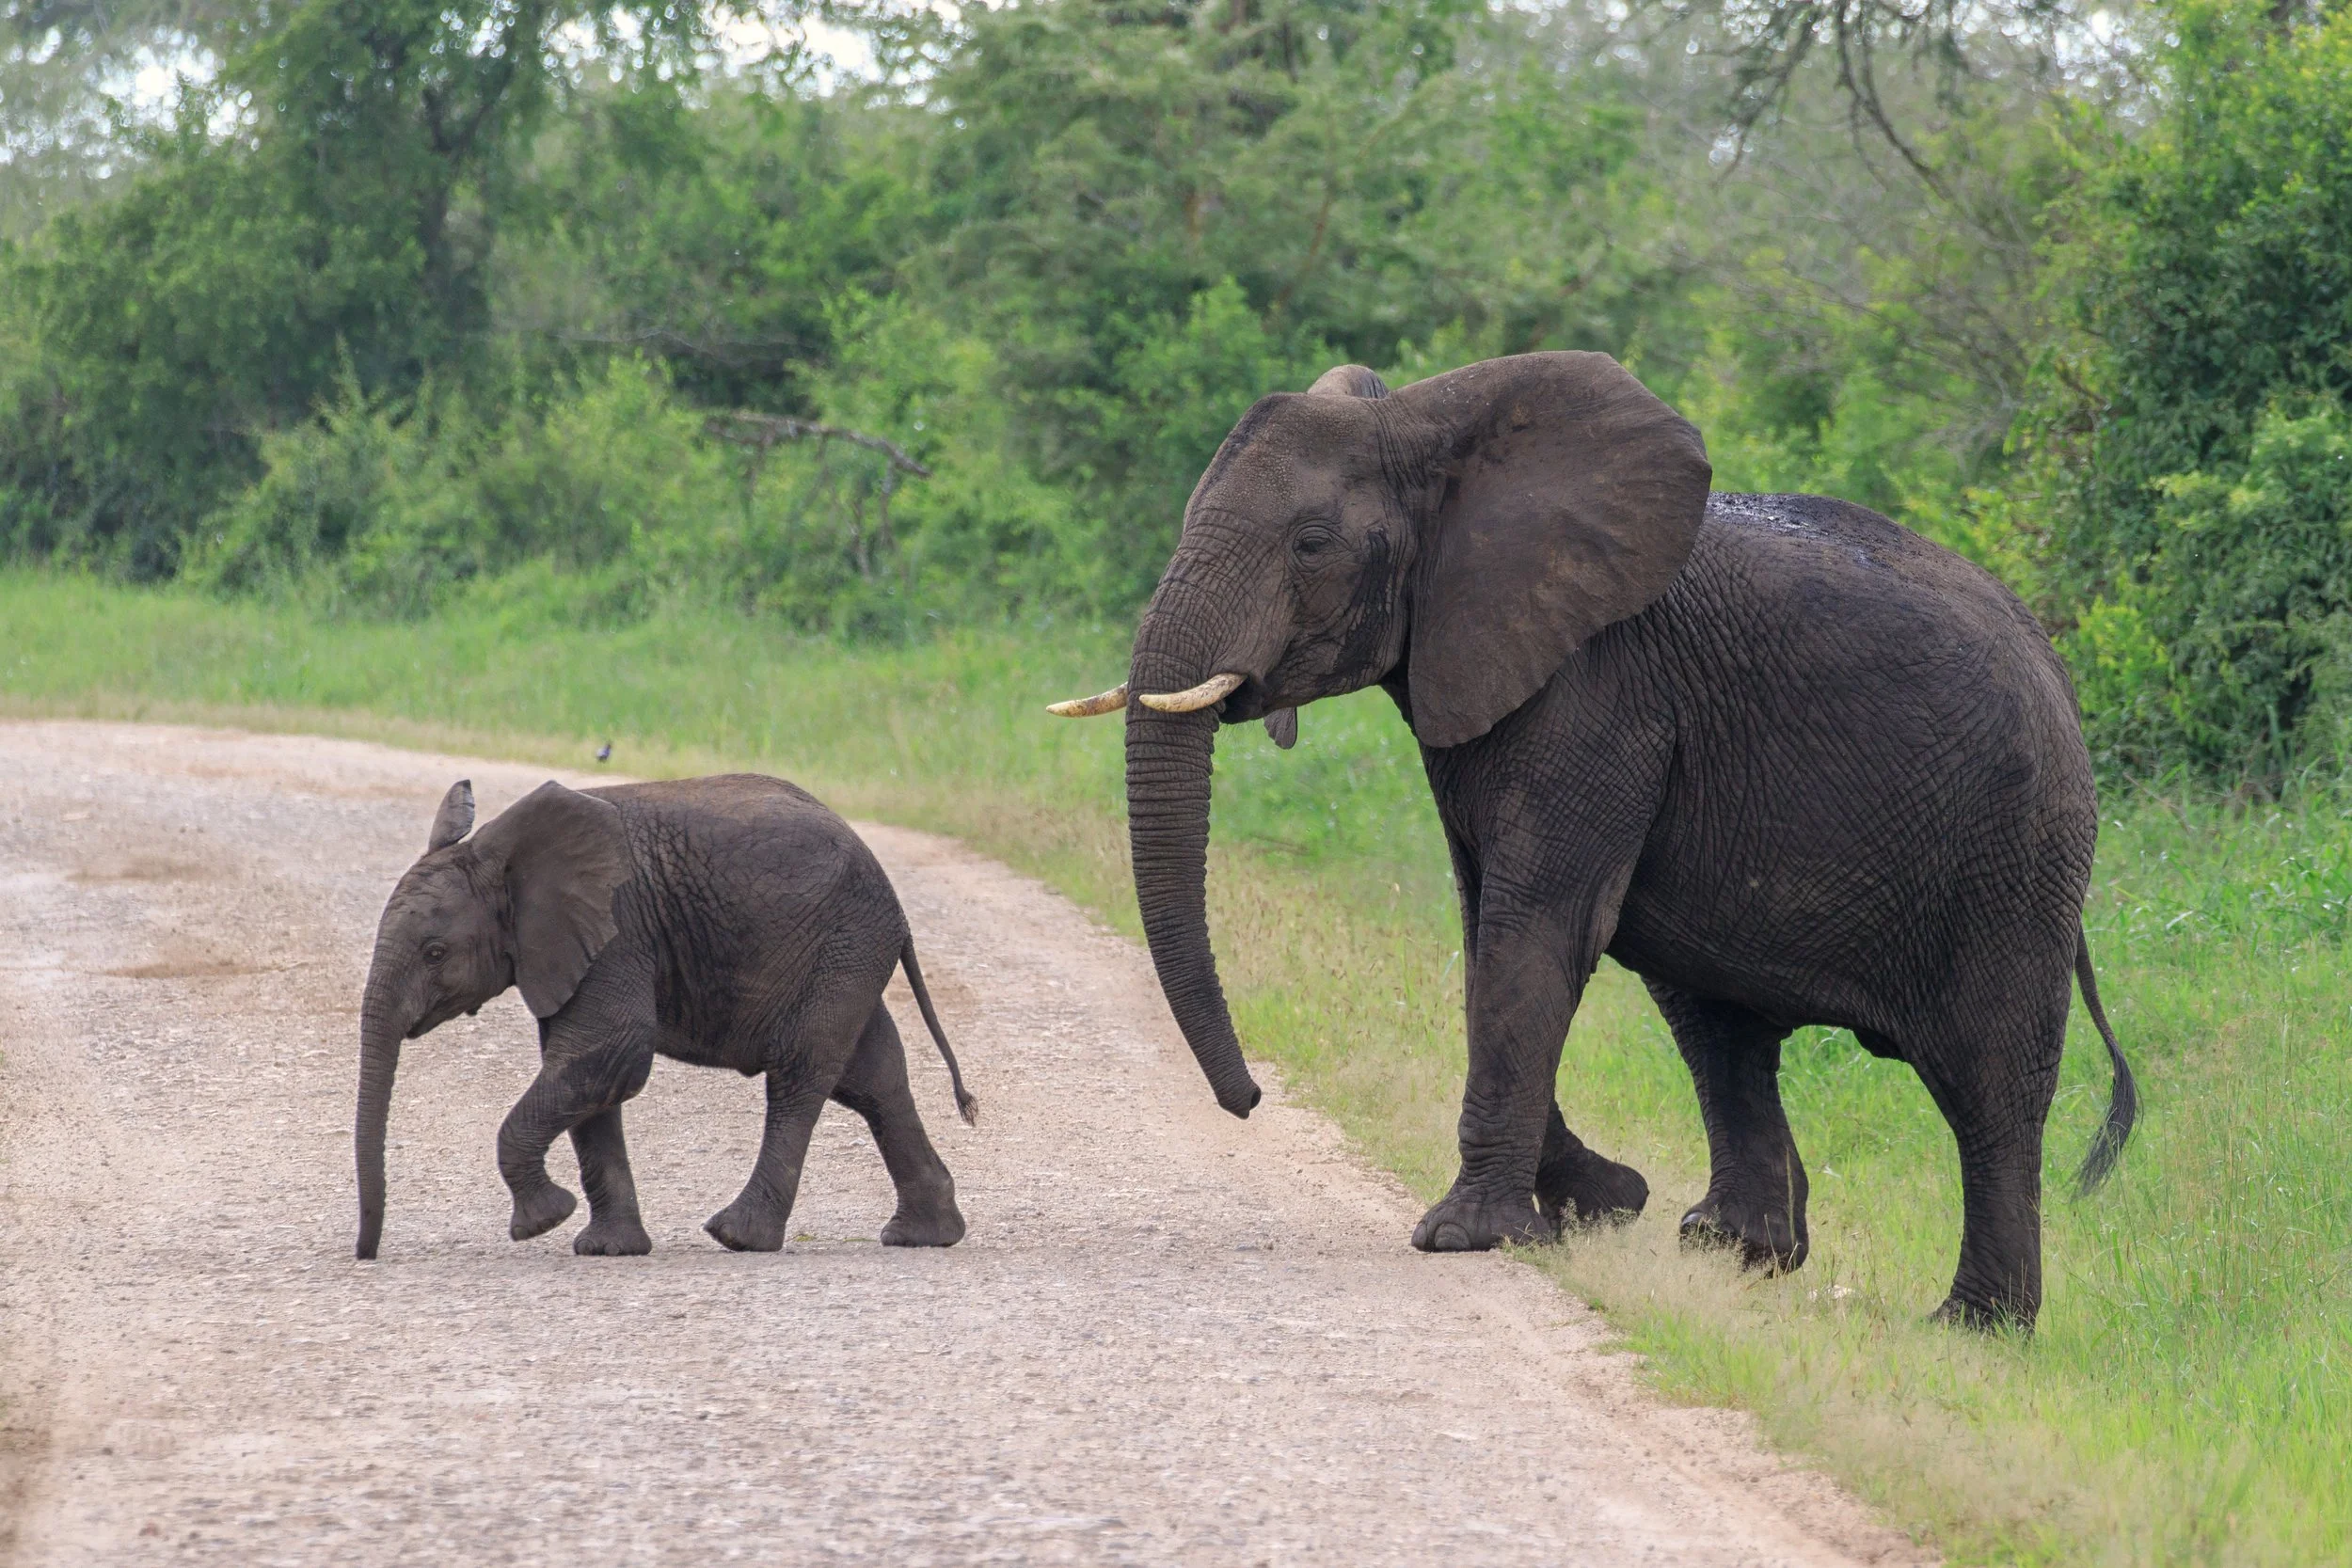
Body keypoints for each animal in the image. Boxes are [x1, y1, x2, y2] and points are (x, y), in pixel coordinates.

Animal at [354, 773, 978, 1262]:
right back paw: (925, 1236)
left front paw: (543, 1221)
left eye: (435, 953)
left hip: (841, 944)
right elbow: (588, 1075)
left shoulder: (619, 930)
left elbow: (612, 1053)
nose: (367, 1254)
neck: (500, 852)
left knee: (800, 1075)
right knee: (873, 1078)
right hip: (847, 953)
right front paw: (607, 1249)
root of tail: (892, 896)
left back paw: (739, 1237)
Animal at [1049, 352, 2135, 1329]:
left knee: (1989, 1084)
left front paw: (1467, 1235)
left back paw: (1971, 1325)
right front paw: (1603, 1203)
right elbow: (1486, 933)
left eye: (1311, 544)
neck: (1425, 424)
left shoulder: (1601, 692)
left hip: (2017, 853)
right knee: (1717, 1022)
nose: (1249, 1100)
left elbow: (1537, 928)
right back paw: (1731, 1248)